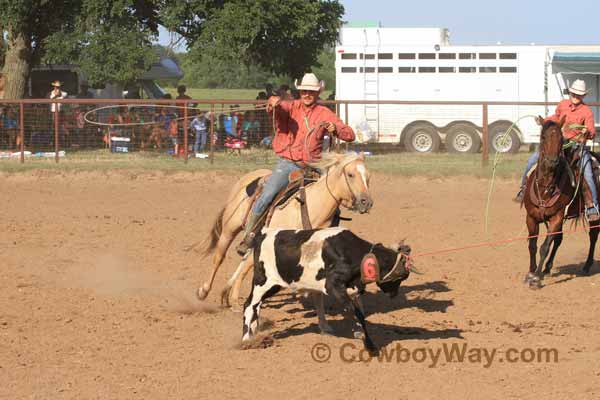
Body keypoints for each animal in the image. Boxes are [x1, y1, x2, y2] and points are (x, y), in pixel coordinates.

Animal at [199, 153, 372, 328]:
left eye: (368, 177)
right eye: (350, 174)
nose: (367, 202)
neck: (311, 208)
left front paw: (324, 324)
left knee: (245, 262)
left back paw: (230, 296)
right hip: (229, 229)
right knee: (219, 257)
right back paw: (205, 292)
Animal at [241, 227, 410, 352]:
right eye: (399, 278)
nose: (394, 294)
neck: (349, 251)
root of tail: (261, 234)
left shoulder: (352, 289)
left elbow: (358, 313)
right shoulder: (333, 286)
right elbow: (356, 312)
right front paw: (370, 346)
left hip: (273, 285)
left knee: (256, 306)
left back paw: (255, 332)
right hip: (263, 282)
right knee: (249, 305)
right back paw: (246, 339)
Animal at [524, 115, 596, 288]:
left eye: (561, 138)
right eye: (543, 137)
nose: (552, 161)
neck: (545, 187)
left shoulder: (556, 217)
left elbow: (544, 247)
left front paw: (536, 278)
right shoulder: (531, 217)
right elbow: (532, 245)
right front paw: (531, 273)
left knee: (593, 234)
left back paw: (587, 265)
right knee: (558, 239)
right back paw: (547, 268)